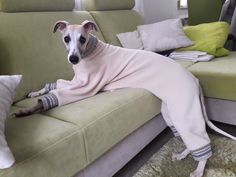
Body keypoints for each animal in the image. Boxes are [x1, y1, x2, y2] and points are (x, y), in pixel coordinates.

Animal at [14, 20, 236, 177]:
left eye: (83, 39)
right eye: (66, 38)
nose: (73, 59)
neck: (90, 52)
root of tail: (194, 79)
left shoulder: (86, 87)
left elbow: (56, 95)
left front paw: (27, 109)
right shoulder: (75, 81)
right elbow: (54, 85)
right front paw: (35, 93)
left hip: (183, 108)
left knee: (199, 138)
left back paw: (199, 169)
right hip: (170, 111)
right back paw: (183, 154)